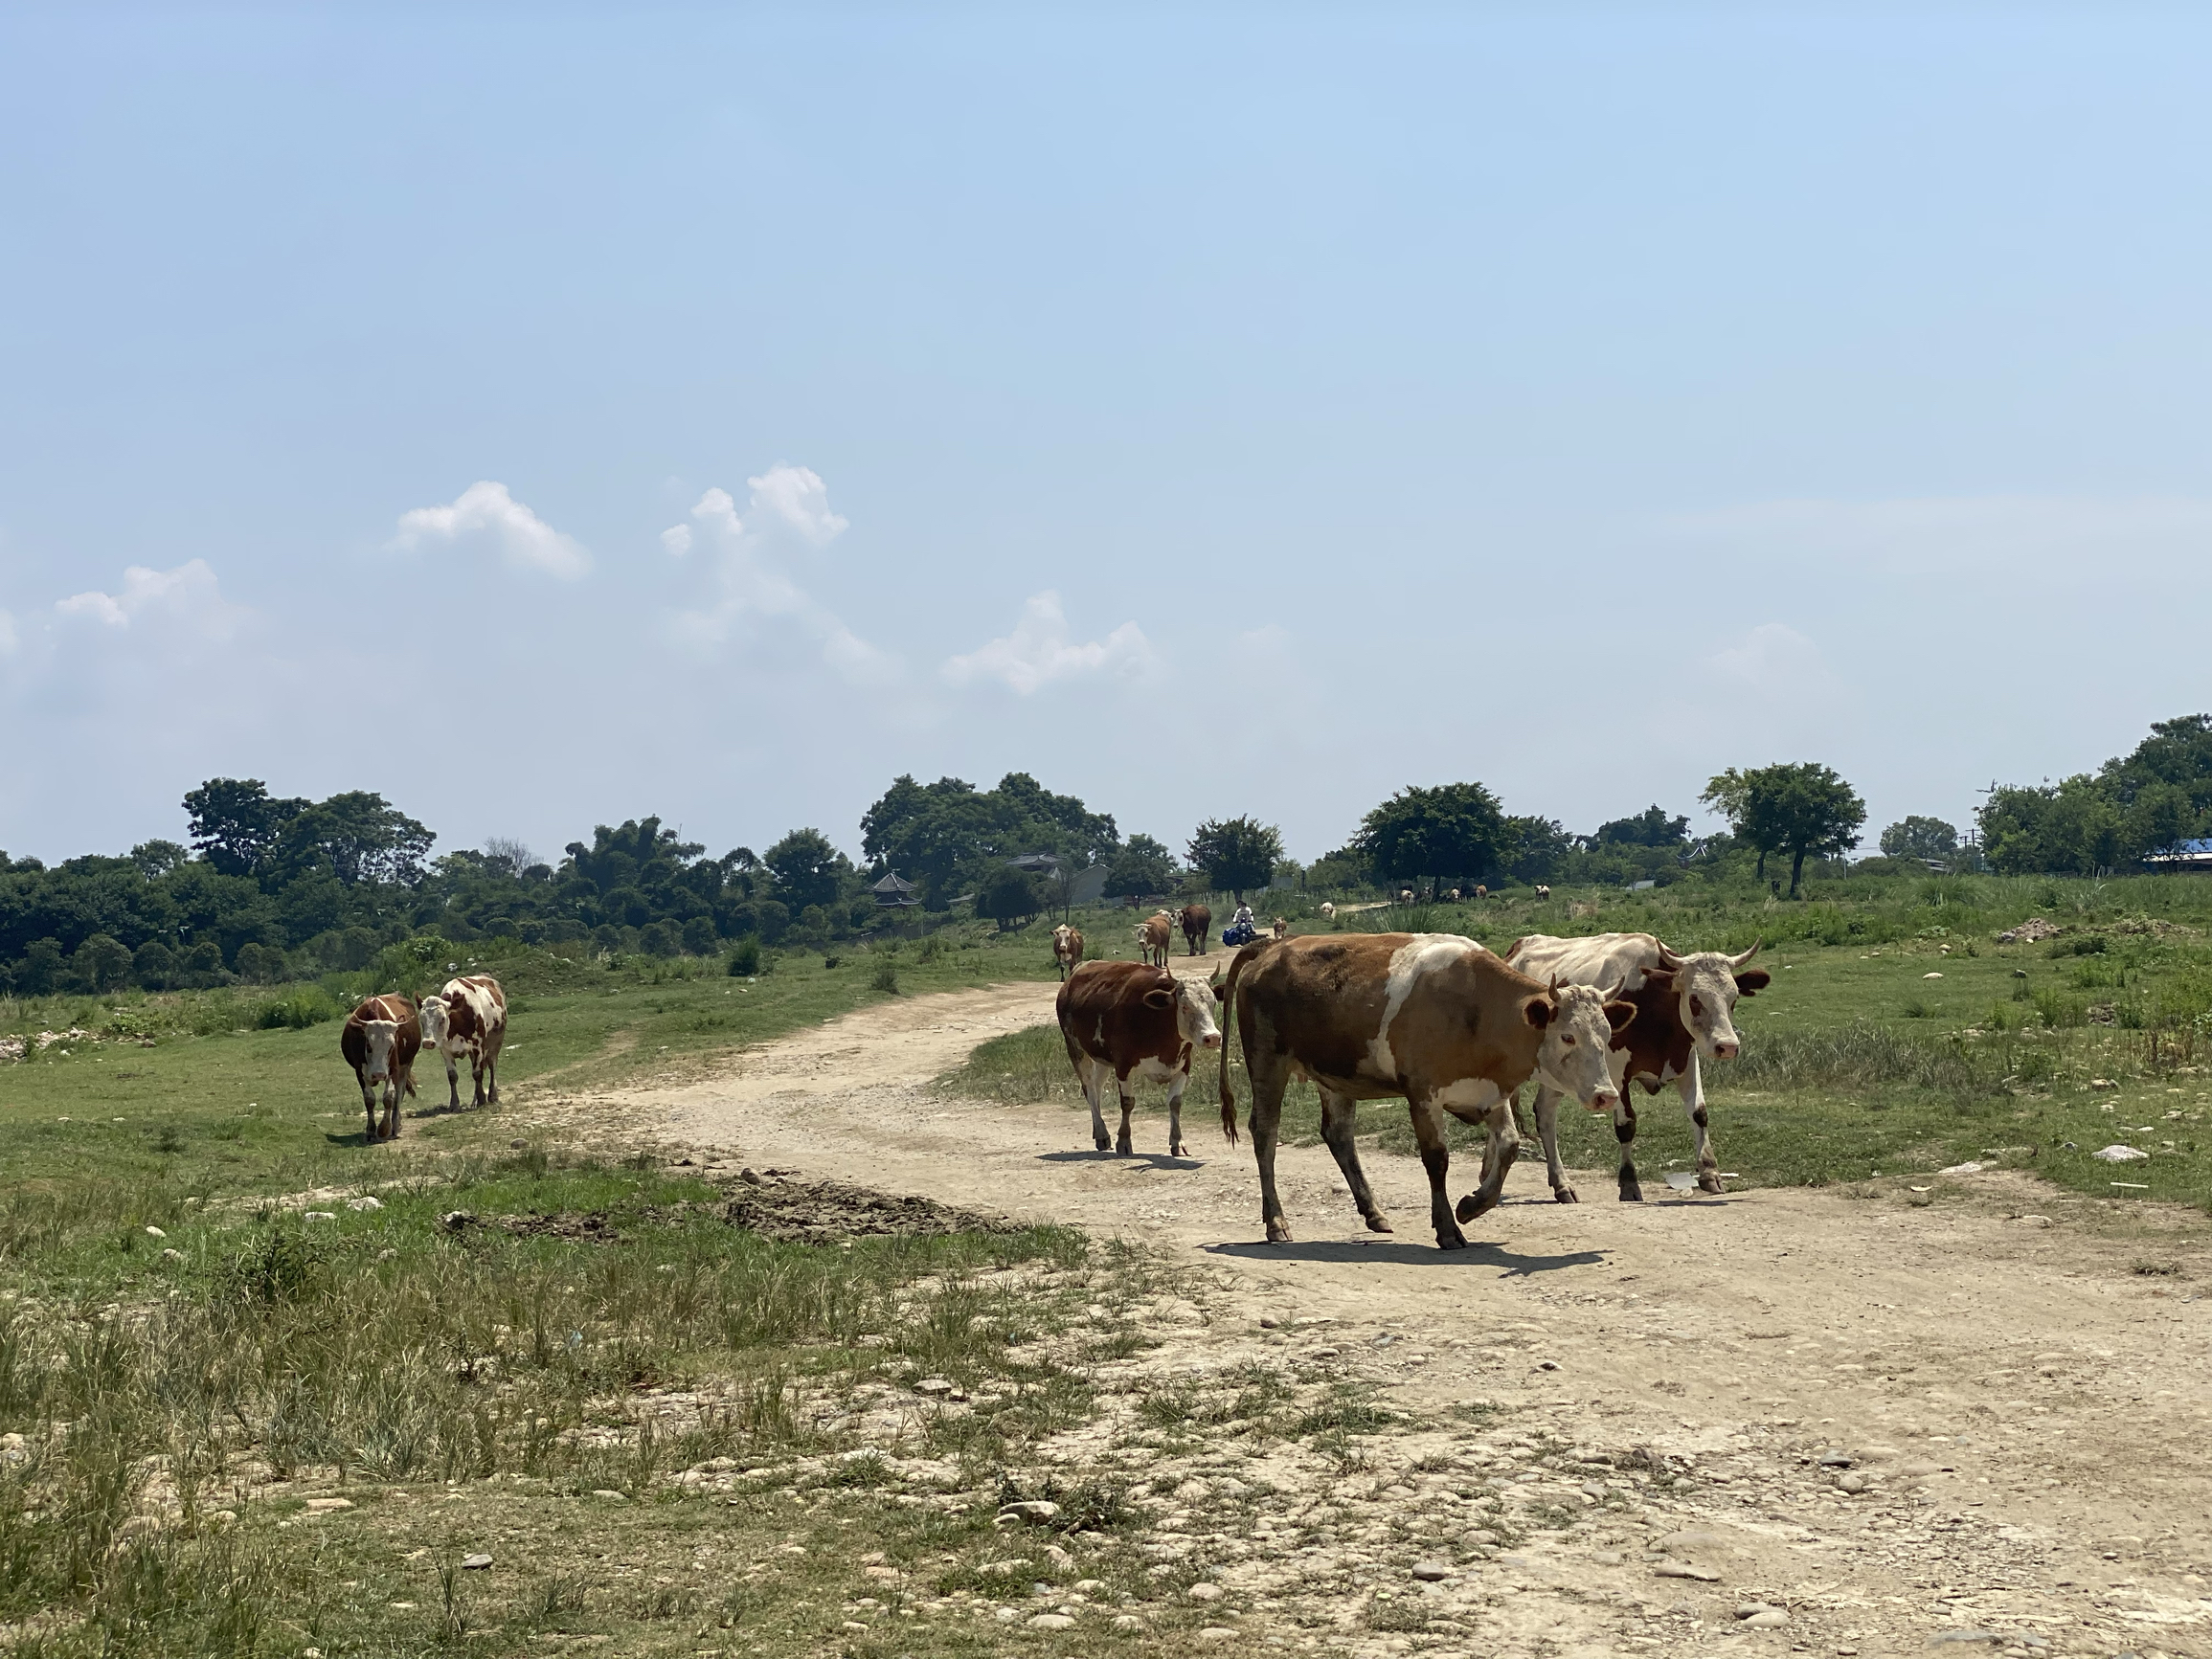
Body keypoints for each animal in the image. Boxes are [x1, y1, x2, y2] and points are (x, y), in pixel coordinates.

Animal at [340, 995, 422, 1150]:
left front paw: (384, 1129)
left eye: (392, 1046)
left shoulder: (393, 1070)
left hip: (406, 1066)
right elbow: (369, 1100)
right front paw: (370, 1131)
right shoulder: (359, 1072)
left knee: (399, 1094)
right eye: (368, 1045)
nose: (378, 1075)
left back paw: (395, 1125)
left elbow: (388, 1097)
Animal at [416, 981, 506, 1110]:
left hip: (495, 1043)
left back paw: (493, 1097)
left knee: (492, 1066)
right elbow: (452, 1076)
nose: (428, 1042)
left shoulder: (478, 1047)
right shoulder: (445, 1050)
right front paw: (454, 1104)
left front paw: (482, 1101)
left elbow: (477, 1074)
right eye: (421, 1019)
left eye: (442, 1018)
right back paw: (474, 1102)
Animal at [1057, 959, 1230, 1158]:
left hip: (1102, 1056)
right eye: (1185, 1006)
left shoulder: (1184, 1065)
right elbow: (1127, 1103)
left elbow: (1175, 1103)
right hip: (1075, 1047)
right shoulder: (1123, 1065)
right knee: (1089, 1089)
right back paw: (1101, 1133)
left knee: (1097, 1086)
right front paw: (1124, 1141)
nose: (1213, 1037)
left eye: (1213, 1003)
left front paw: (1177, 1141)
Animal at [1221, 937, 1636, 1247]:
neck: (1476, 1007)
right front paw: (1448, 1228)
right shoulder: (1423, 1095)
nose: (1605, 1094)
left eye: (1607, 1033)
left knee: (1338, 1136)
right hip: (1267, 1063)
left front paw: (1471, 1206)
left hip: (1337, 1075)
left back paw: (1374, 1212)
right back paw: (1276, 1222)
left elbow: (1509, 1146)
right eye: (1567, 1036)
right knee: (1265, 1134)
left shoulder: (1488, 1091)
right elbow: (1437, 1160)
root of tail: (1272, 948)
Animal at [1495, 937, 1770, 1194]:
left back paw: (1560, 1184)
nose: (1728, 1046)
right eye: (1694, 998)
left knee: (1545, 1113)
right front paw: (1629, 1182)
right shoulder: (1615, 1073)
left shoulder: (1687, 1060)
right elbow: (1626, 1125)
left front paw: (1710, 1172)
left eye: (1733, 998)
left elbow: (1699, 1113)